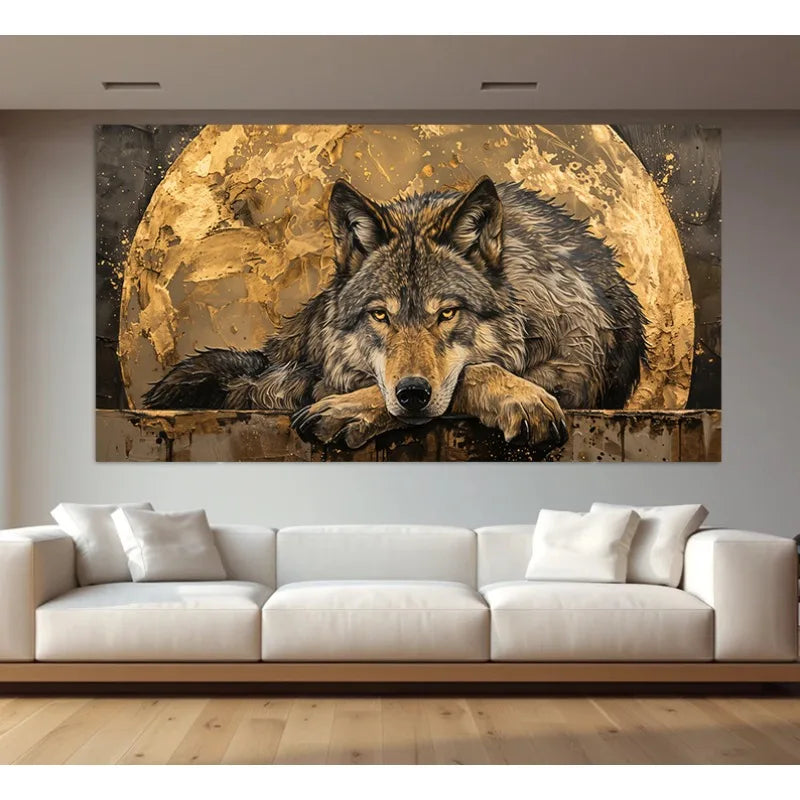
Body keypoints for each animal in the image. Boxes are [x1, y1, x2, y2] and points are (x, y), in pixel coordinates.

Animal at [143, 176, 647, 450]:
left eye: (447, 314)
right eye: (380, 316)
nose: (412, 393)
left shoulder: (579, 374)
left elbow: (473, 372)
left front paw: (521, 398)